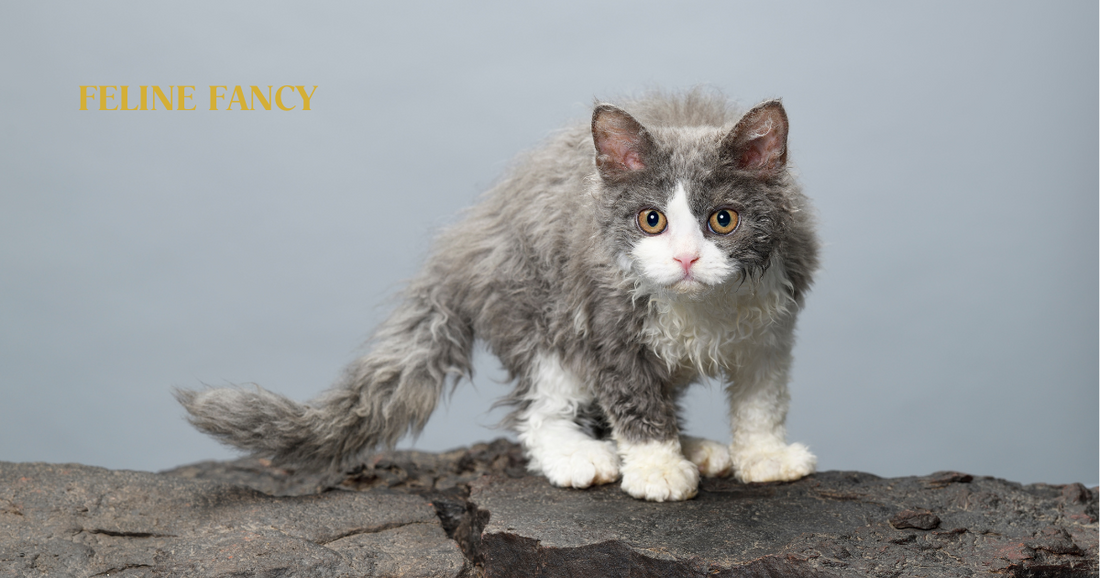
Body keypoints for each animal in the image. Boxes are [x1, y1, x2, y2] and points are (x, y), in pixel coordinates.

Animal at [176, 90, 822, 499]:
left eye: (722, 220)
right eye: (652, 220)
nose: (685, 259)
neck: (701, 307)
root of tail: (461, 243)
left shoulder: (774, 320)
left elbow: (762, 399)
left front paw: (764, 457)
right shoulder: (603, 319)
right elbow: (635, 403)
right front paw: (658, 468)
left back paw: (698, 447)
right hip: (538, 314)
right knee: (539, 411)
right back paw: (582, 456)